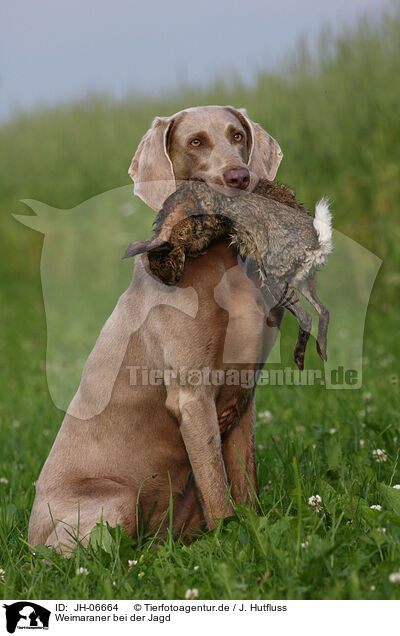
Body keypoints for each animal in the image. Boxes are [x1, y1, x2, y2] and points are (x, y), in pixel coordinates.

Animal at [28, 105, 282, 552]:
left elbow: (243, 479)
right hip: (114, 504)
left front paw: (254, 529)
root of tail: (26, 539)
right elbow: (217, 486)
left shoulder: (243, 393)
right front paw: (230, 542)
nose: (239, 177)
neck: (218, 262)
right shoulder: (192, 397)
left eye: (237, 135)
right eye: (195, 141)